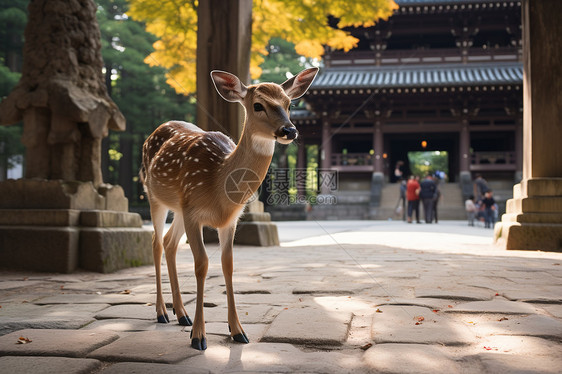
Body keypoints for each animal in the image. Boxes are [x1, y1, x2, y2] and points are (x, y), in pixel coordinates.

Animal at [139, 67, 316, 350]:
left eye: (289, 104)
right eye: (258, 105)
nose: (289, 130)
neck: (218, 180)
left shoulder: (230, 220)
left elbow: (228, 264)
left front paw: (238, 331)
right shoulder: (193, 213)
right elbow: (201, 264)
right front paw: (199, 336)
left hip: (178, 207)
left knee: (169, 242)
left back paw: (182, 314)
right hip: (154, 194)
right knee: (156, 242)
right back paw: (162, 312)